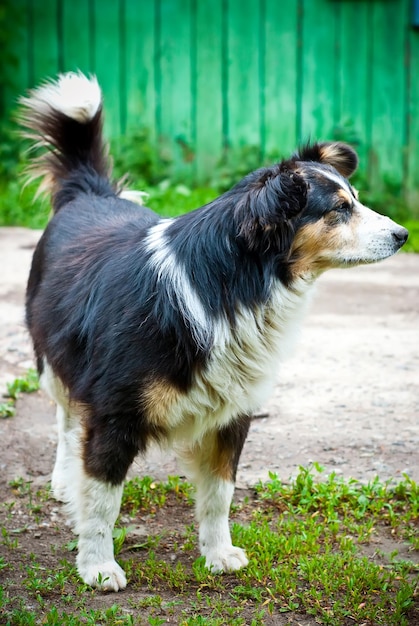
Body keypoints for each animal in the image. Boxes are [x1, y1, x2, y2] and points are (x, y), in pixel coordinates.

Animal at [20, 73, 410, 588]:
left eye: (357, 200)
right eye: (340, 209)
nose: (404, 235)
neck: (232, 284)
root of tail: (89, 193)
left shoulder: (233, 412)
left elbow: (220, 493)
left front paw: (218, 553)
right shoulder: (114, 411)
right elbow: (103, 501)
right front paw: (99, 566)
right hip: (53, 359)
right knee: (66, 419)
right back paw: (65, 480)